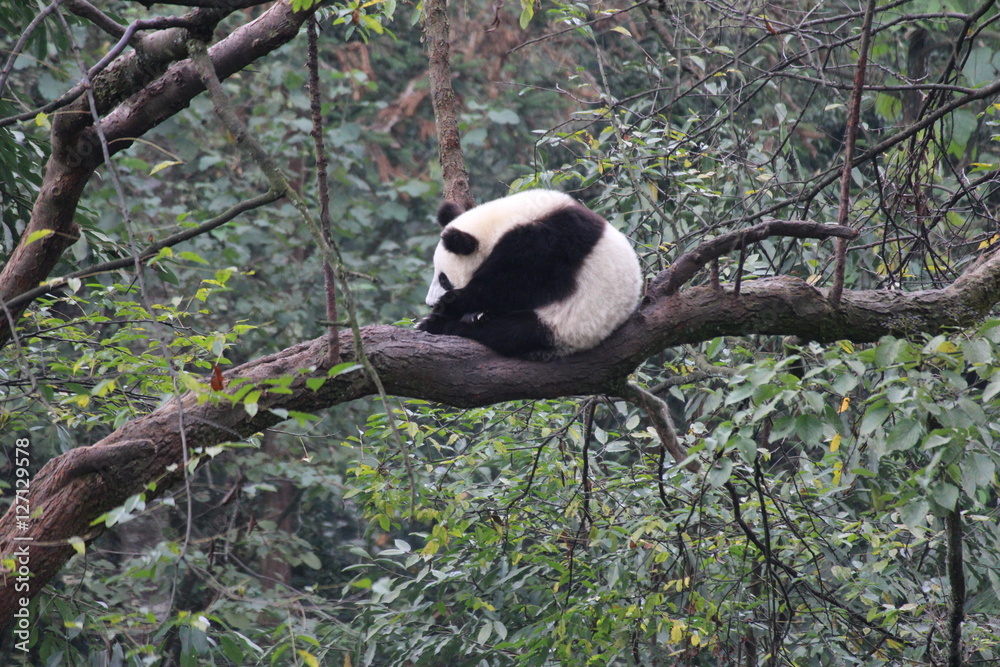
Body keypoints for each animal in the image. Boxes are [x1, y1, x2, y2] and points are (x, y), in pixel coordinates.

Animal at [417, 189, 642, 358]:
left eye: (444, 279)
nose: (430, 303)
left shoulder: (544, 245)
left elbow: (506, 288)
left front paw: (451, 305)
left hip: (566, 325)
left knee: (510, 332)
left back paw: (447, 324)